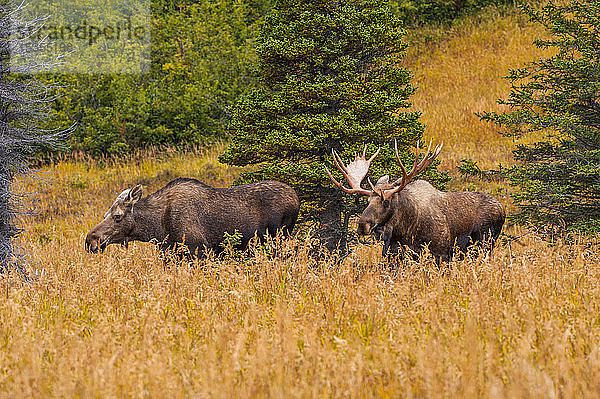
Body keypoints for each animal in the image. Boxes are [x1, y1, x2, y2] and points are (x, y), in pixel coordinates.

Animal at [84, 177, 300, 258]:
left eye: (118, 216)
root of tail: (296, 197)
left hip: (277, 238)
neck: (157, 228)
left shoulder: (199, 250)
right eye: (105, 214)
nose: (90, 241)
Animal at [326, 141, 504, 262]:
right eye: (367, 201)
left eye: (386, 202)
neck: (404, 229)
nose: (363, 225)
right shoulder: (393, 254)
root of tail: (502, 210)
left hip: (485, 242)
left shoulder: (442, 252)